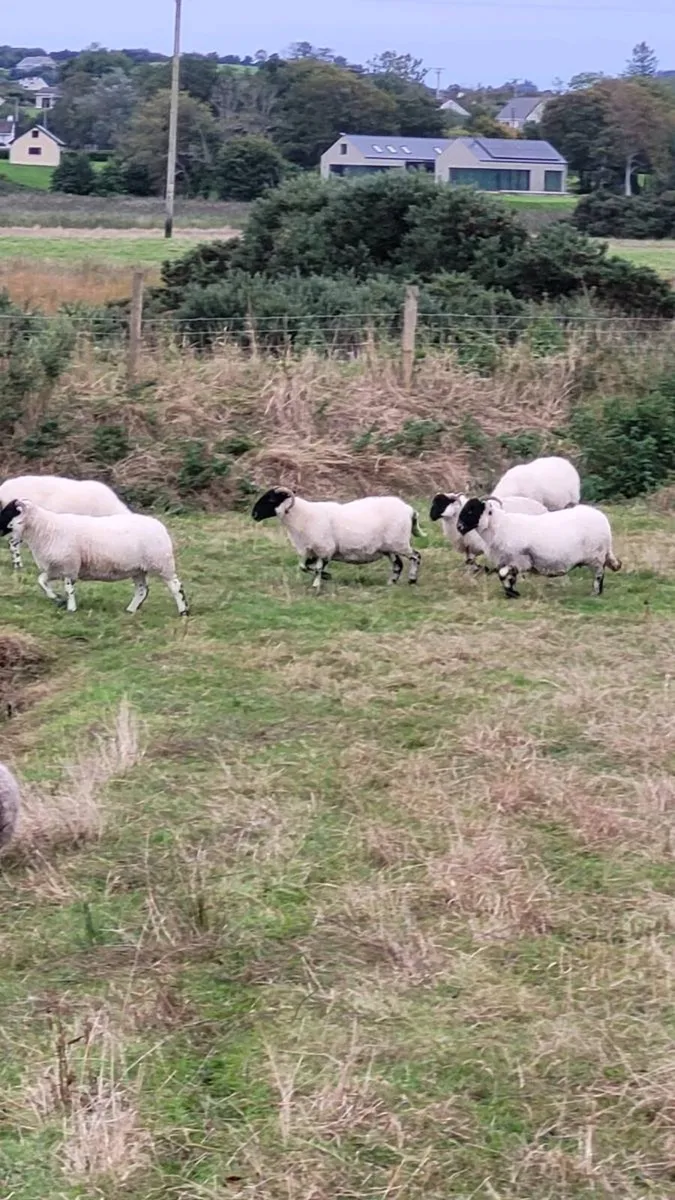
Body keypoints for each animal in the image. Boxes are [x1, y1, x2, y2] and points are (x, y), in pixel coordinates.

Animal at [0, 499, 189, 616]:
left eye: (8, 512)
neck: (45, 528)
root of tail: (160, 526)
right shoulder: (56, 568)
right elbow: (41, 581)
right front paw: (55, 598)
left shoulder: (69, 565)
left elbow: (69, 589)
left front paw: (71, 608)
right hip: (138, 569)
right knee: (142, 590)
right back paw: (130, 610)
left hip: (161, 563)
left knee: (176, 586)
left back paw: (183, 612)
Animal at [252, 487, 424, 590]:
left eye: (271, 499)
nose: (254, 515)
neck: (302, 516)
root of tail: (410, 510)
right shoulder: (310, 550)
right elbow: (304, 567)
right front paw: (326, 577)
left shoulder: (325, 548)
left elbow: (317, 568)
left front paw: (317, 585)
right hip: (389, 547)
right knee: (398, 564)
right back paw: (391, 583)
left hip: (399, 542)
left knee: (416, 556)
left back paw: (412, 580)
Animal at [456, 496, 621, 598]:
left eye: (472, 510)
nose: (459, 527)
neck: (500, 526)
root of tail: (601, 517)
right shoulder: (507, 560)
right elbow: (508, 576)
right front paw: (512, 593)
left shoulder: (519, 559)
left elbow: (503, 574)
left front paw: (512, 593)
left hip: (596, 556)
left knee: (599, 575)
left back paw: (595, 593)